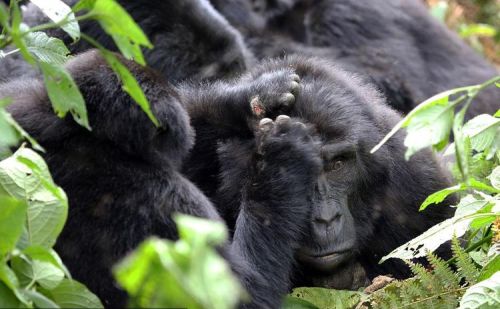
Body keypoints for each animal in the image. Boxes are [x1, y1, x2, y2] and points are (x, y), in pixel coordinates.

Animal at [2, 50, 316, 306]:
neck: (88, 136)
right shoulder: (171, 205)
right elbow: (241, 296)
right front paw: (282, 162)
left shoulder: (20, 101)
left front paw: (253, 98)